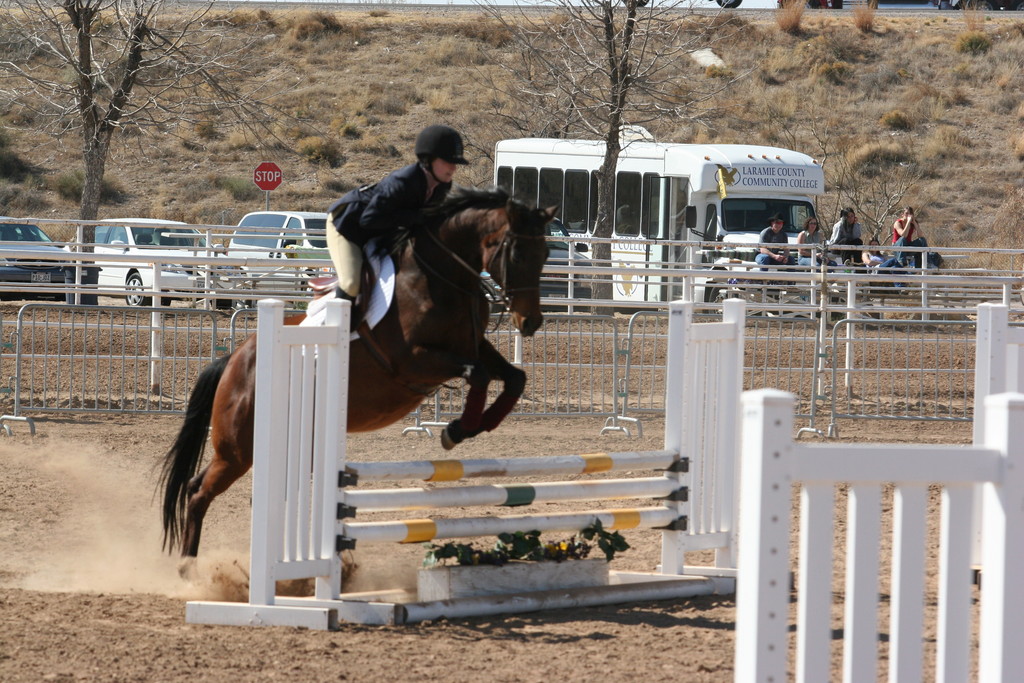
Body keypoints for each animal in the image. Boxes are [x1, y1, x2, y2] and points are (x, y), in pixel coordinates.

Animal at [159, 185, 557, 557]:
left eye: (546, 254)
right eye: (517, 253)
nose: (531, 322)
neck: (443, 277)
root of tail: (233, 359)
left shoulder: (473, 347)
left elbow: (514, 378)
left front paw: (475, 425)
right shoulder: (414, 360)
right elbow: (479, 375)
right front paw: (456, 430)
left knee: (211, 489)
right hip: (238, 450)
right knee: (199, 493)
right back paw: (189, 569)